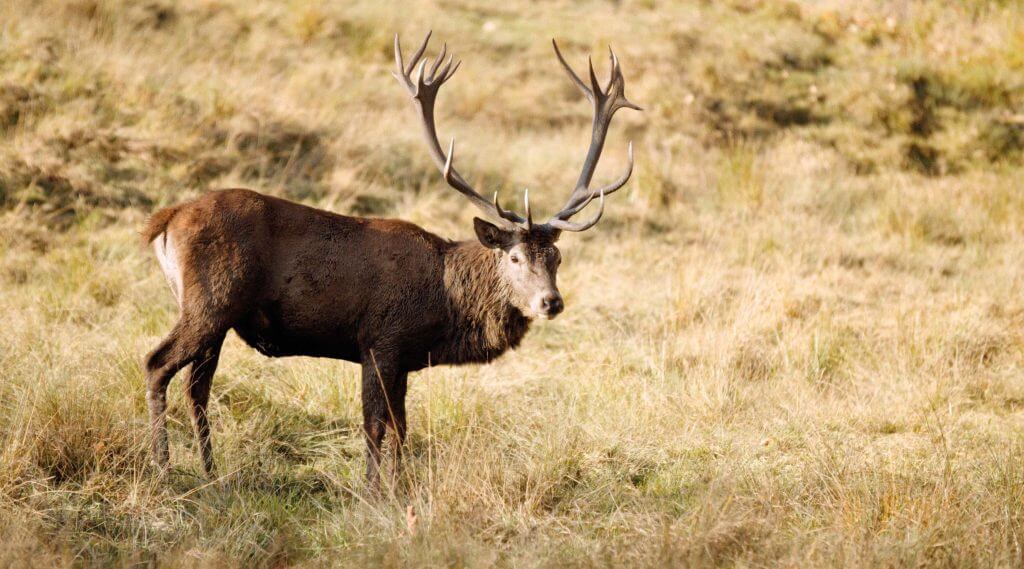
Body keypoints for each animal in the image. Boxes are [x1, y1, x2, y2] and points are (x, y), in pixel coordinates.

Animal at [140, 32, 639, 486]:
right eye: (515, 257)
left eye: (556, 257)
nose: (550, 302)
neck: (444, 301)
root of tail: (166, 220)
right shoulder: (380, 340)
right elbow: (375, 427)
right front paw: (372, 492)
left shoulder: (404, 359)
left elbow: (402, 430)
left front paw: (399, 490)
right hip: (211, 300)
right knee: (157, 363)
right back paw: (164, 469)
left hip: (216, 315)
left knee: (198, 386)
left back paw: (210, 471)